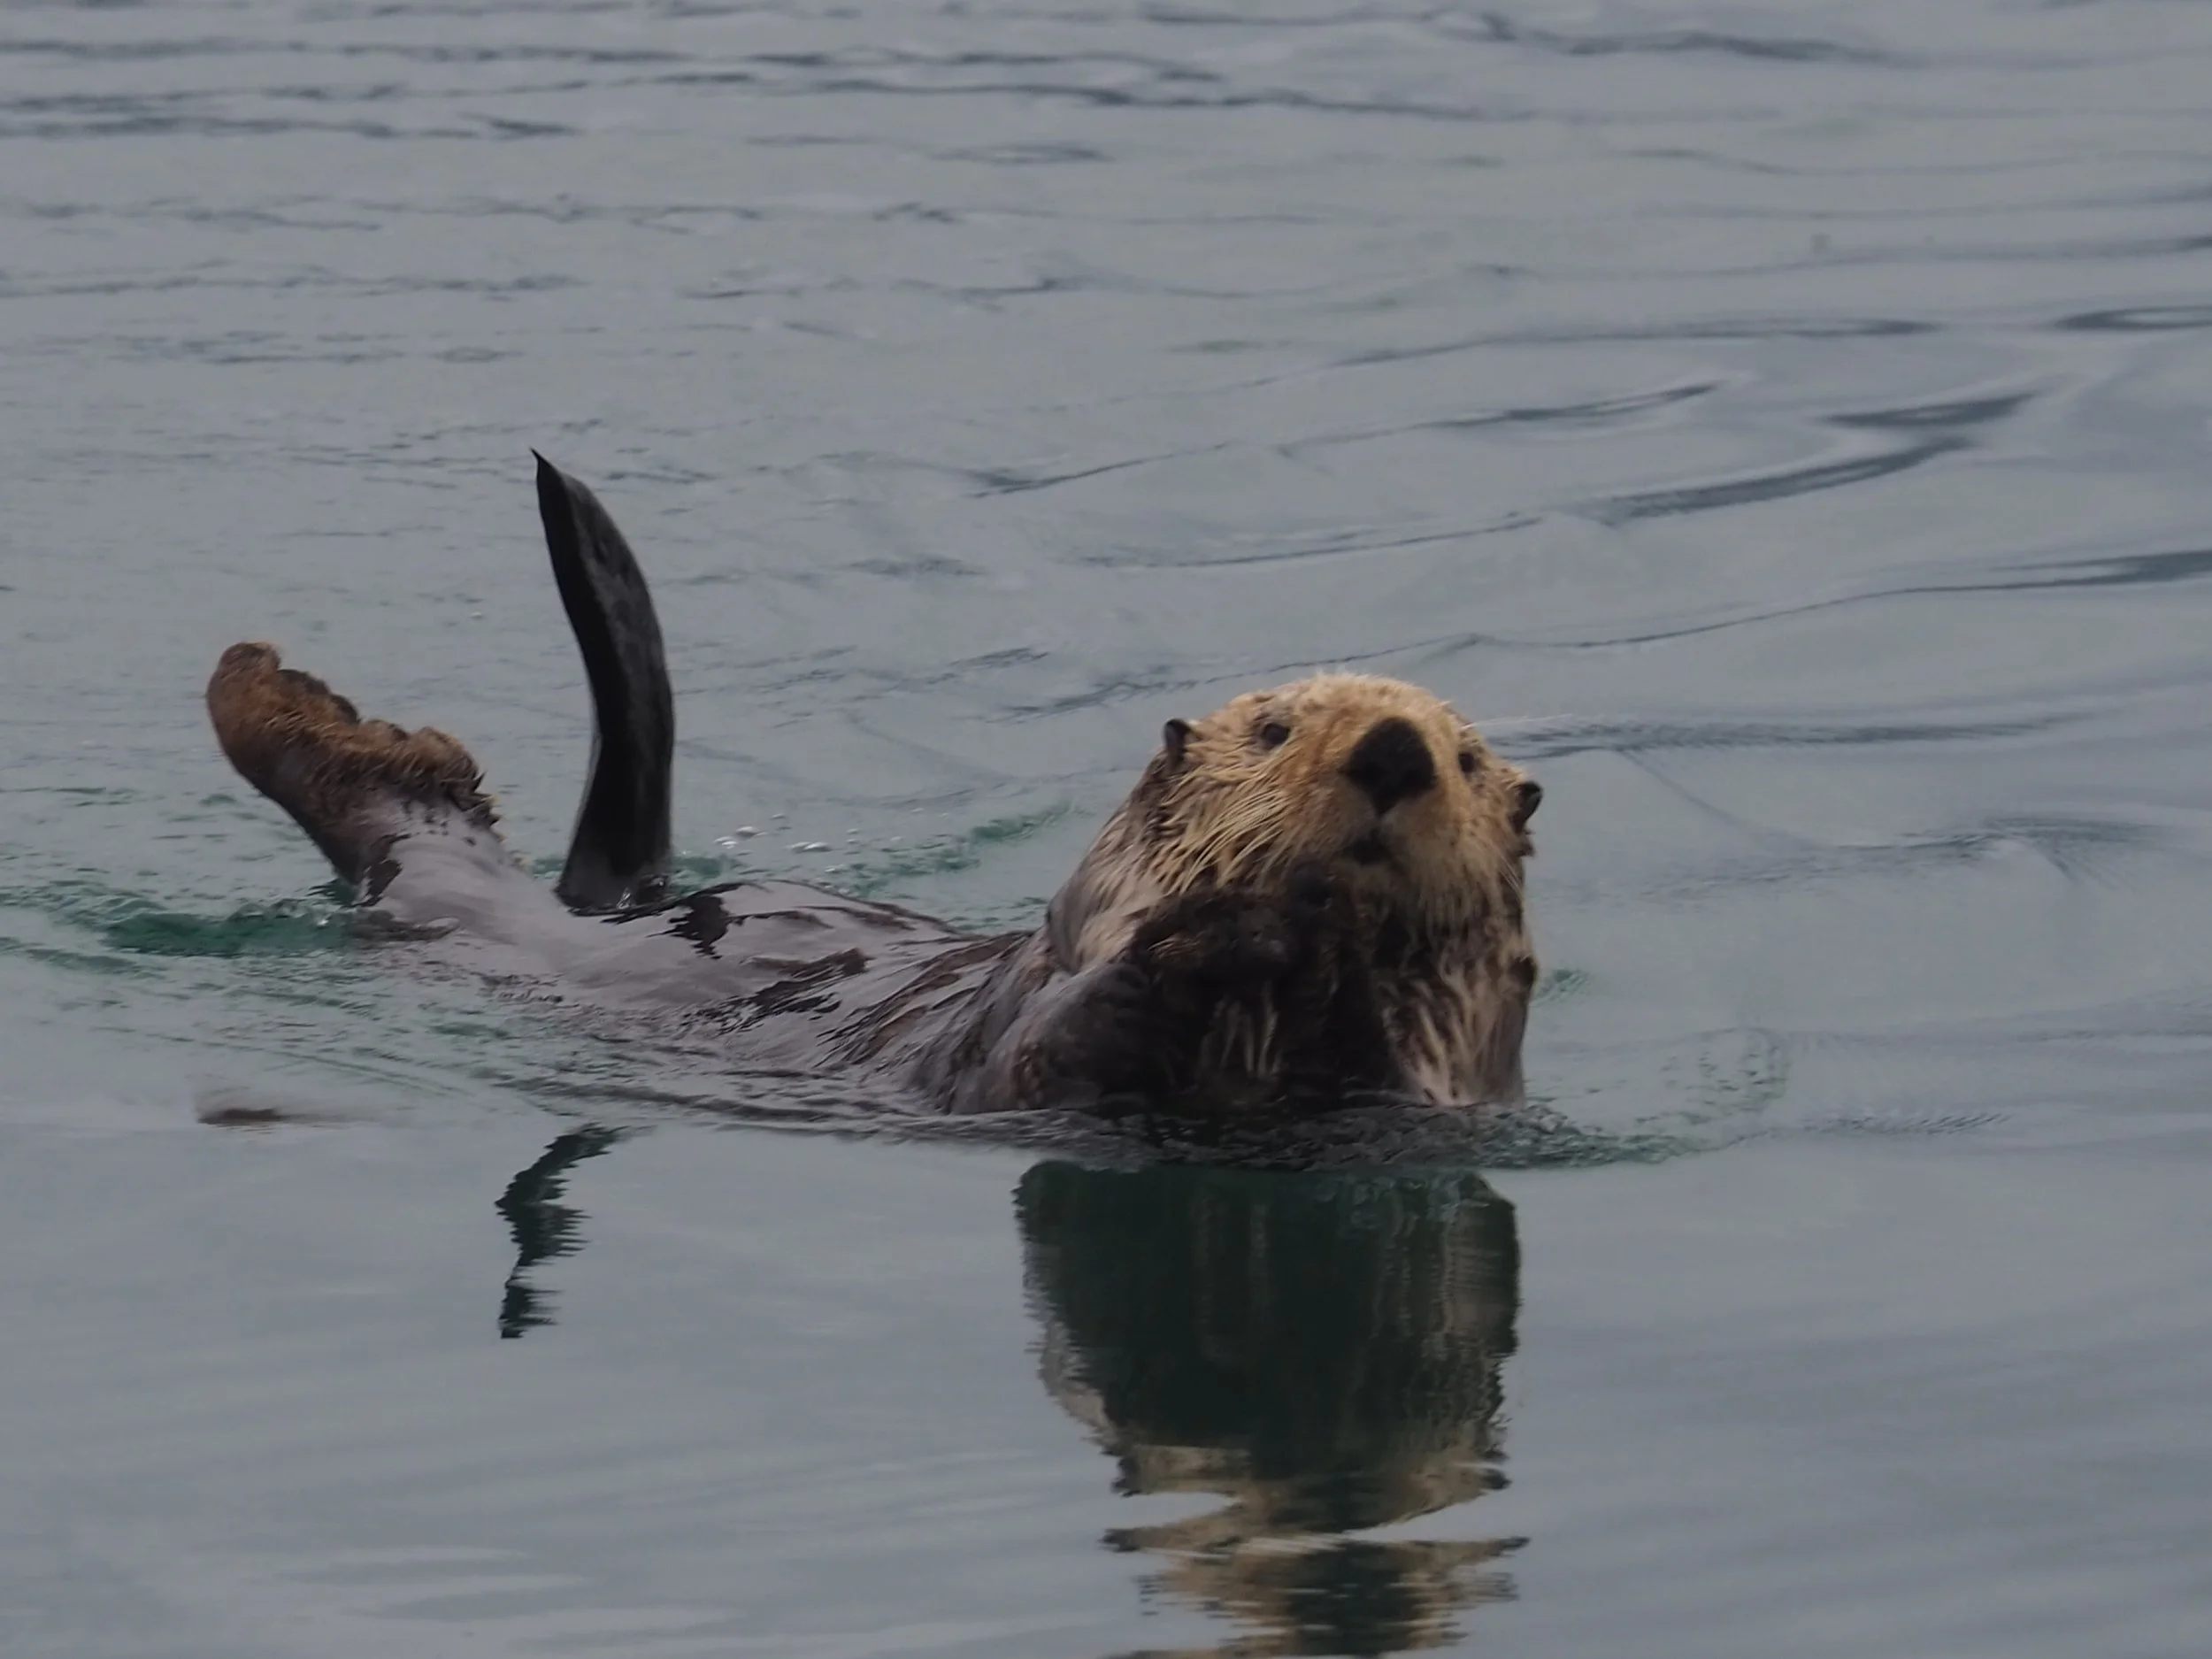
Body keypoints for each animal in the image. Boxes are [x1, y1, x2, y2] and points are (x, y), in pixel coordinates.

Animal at [207, 458, 1540, 1116]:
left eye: (1468, 762)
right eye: (1271, 729)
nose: (1393, 750)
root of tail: (631, 900)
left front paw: (1324, 949)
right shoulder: (1018, 1053)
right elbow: (1065, 1038)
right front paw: (1224, 931)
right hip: (495, 926)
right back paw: (265, 691)